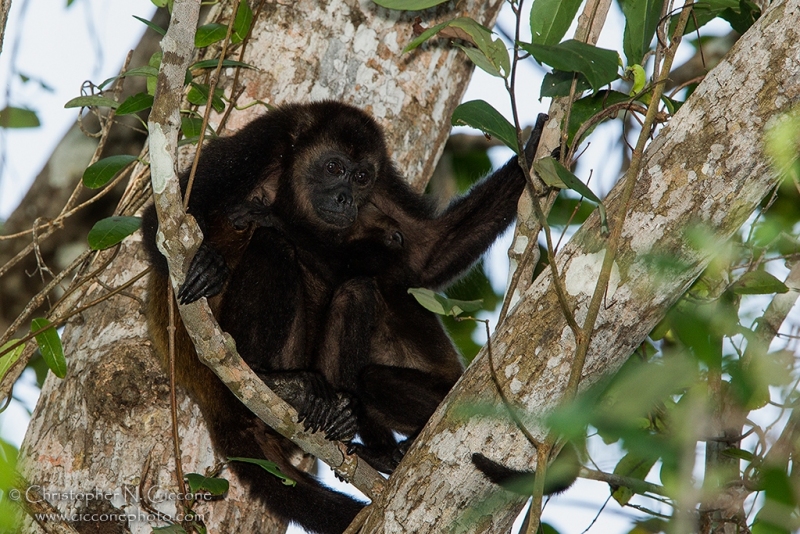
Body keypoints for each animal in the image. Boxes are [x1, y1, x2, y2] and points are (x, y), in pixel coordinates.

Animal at [142, 101, 544, 534]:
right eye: (333, 167)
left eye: (362, 176)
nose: (344, 198)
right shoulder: (260, 142)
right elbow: (159, 221)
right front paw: (210, 261)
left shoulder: (382, 187)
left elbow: (428, 252)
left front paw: (538, 147)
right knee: (272, 247)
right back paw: (274, 379)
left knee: (353, 293)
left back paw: (341, 417)